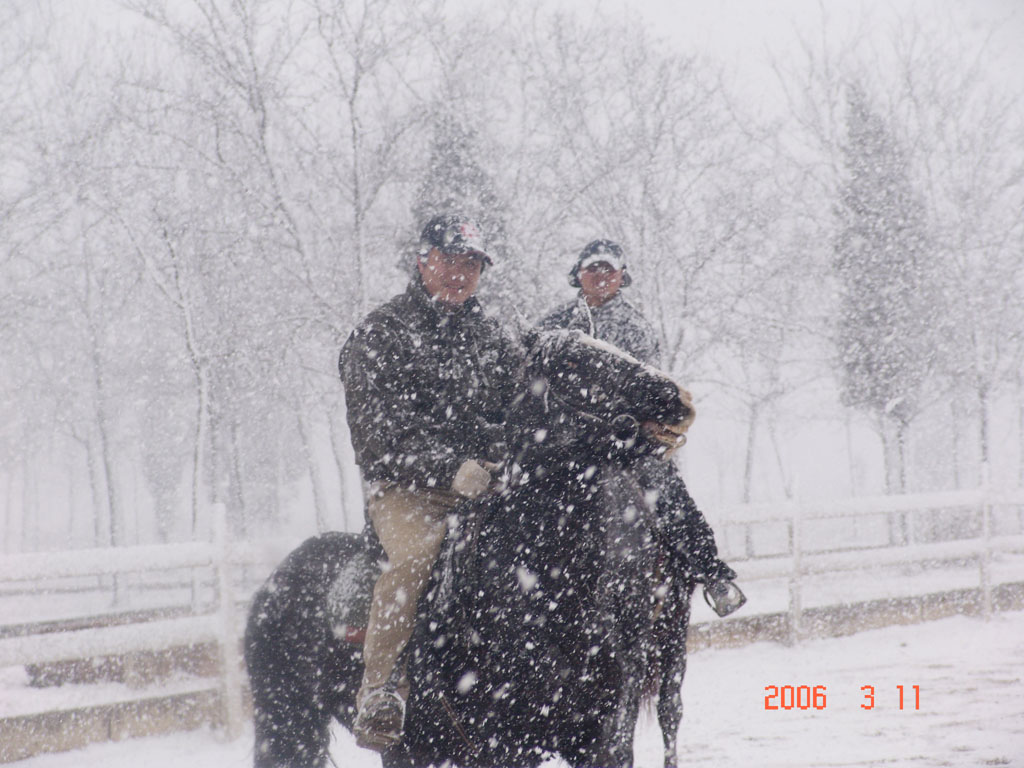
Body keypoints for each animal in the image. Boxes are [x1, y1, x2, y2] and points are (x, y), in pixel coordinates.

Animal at [244, 331, 700, 768]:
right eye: (571, 361)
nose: (677, 397)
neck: (549, 591)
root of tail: (271, 585)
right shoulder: (507, 747)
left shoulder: (602, 739)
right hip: (289, 727)